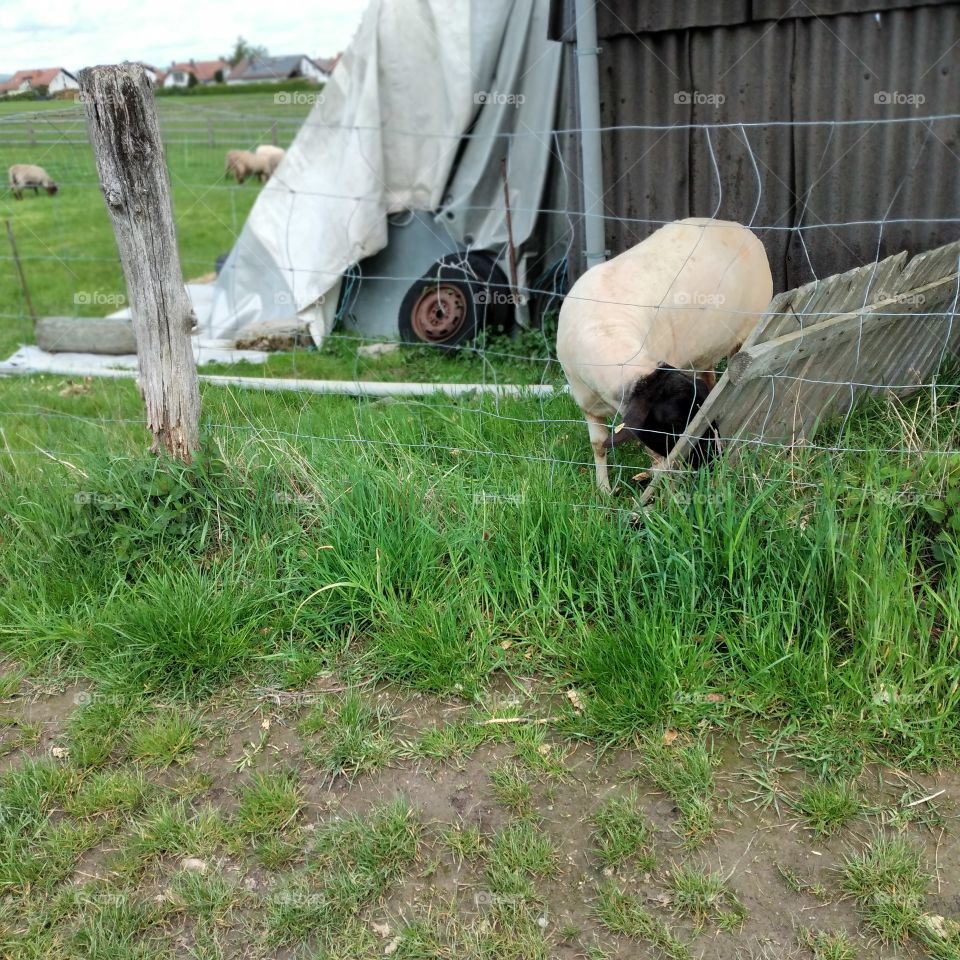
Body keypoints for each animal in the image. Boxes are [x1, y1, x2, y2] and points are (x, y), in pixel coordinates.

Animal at [556, 217, 773, 492]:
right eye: (676, 422)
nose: (713, 460)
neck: (603, 329)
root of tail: (736, 226)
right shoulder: (588, 405)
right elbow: (598, 445)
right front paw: (603, 491)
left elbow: (658, 458)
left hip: (749, 329)